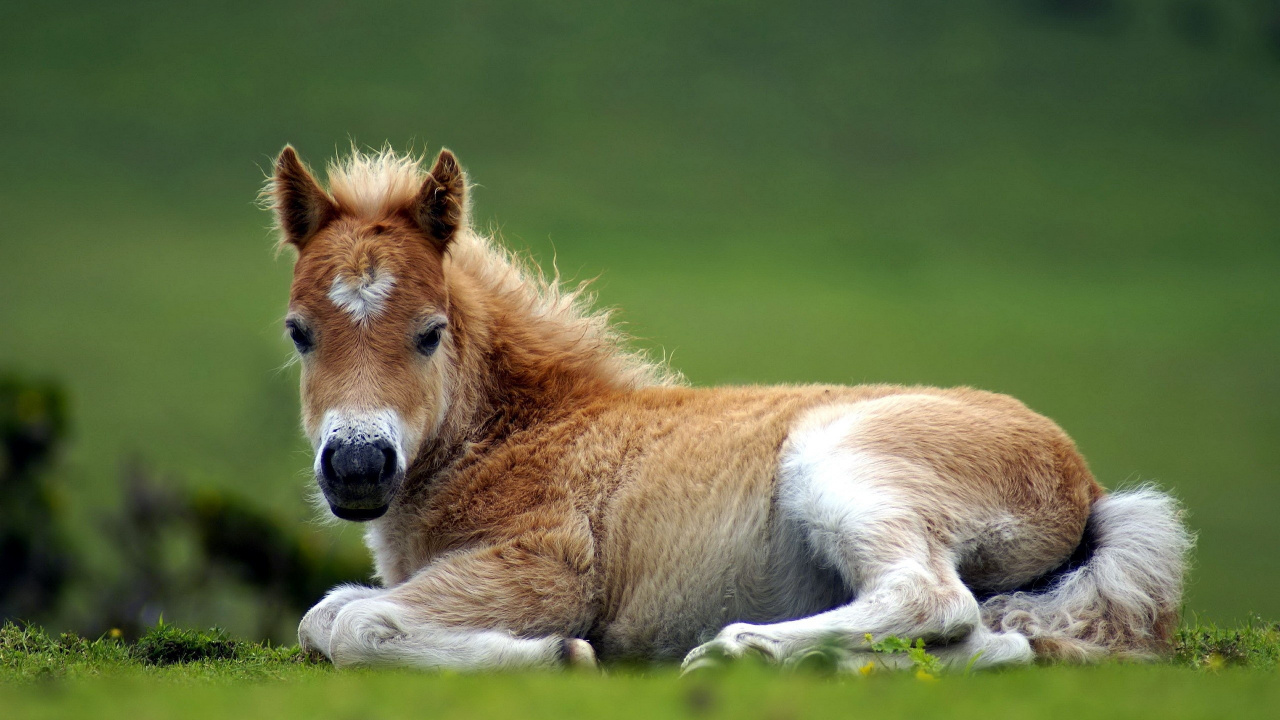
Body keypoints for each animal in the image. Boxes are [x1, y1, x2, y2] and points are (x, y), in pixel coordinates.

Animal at [266, 145, 1192, 672]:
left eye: (429, 333)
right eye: (299, 332)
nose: (356, 466)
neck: (525, 431)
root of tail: (1087, 487)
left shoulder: (541, 566)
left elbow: (354, 625)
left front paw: (561, 654)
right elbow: (325, 615)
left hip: (842, 463)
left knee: (933, 600)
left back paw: (735, 650)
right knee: (991, 642)